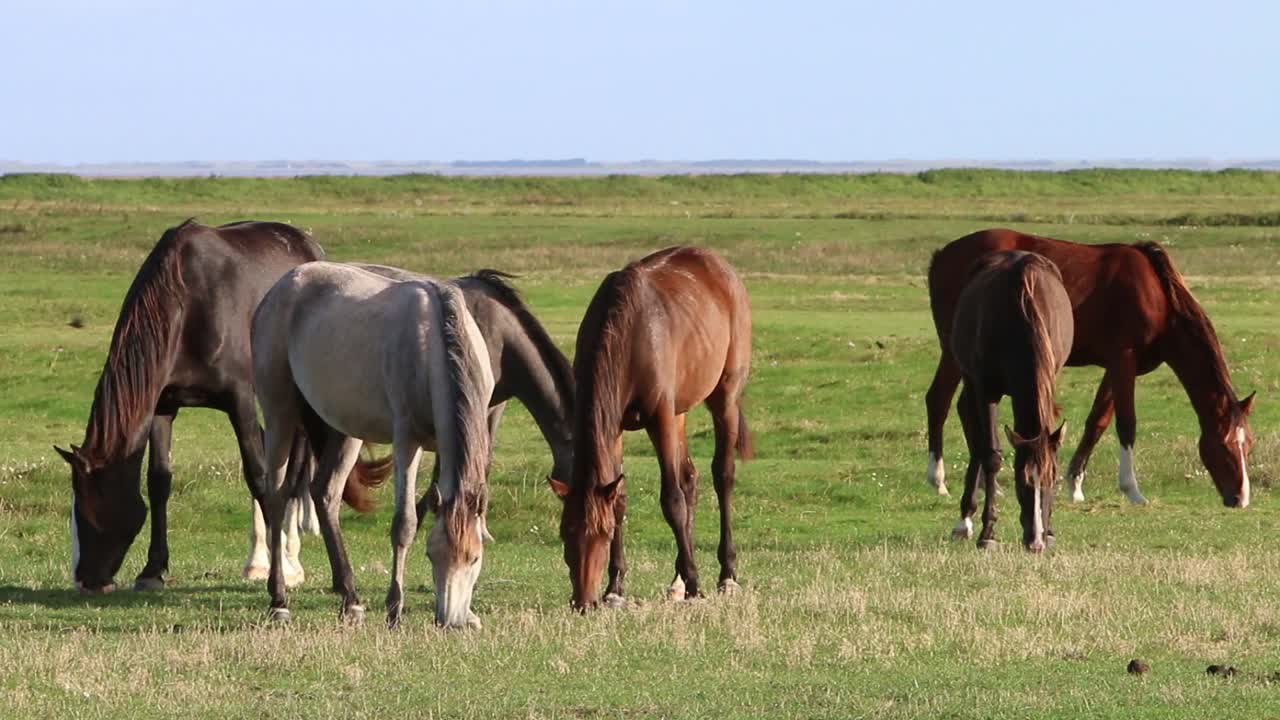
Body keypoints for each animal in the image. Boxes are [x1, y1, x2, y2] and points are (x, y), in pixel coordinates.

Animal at [52, 219, 381, 593]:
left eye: (91, 509)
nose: (84, 579)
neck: (187, 305)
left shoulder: (239, 401)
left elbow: (259, 476)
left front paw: (283, 567)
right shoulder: (163, 406)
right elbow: (159, 481)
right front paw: (153, 569)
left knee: (295, 469)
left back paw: (291, 553)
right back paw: (256, 560)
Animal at [251, 262, 495, 628]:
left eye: (474, 558)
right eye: (430, 555)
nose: (449, 619)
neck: (435, 343)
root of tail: (280, 287)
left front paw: (469, 614)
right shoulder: (407, 442)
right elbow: (405, 524)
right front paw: (394, 609)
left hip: (344, 428)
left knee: (325, 493)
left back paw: (350, 598)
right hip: (280, 411)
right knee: (277, 495)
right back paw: (279, 598)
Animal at [549, 246, 753, 609]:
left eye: (602, 535)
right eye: (565, 533)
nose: (583, 602)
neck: (629, 333)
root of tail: (719, 265)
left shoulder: (660, 417)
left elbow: (672, 500)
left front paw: (695, 583)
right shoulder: (615, 426)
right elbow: (619, 499)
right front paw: (615, 587)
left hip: (724, 397)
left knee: (722, 475)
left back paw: (726, 575)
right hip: (679, 412)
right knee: (690, 479)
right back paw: (676, 580)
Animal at [925, 228, 1255, 508]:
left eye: (1248, 444)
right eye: (1224, 445)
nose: (1240, 498)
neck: (1158, 296)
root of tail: (942, 256)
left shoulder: (1117, 366)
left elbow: (1098, 421)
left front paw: (1074, 483)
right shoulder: (1123, 360)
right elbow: (1126, 423)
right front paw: (1132, 490)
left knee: (961, 406)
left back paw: (981, 480)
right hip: (957, 353)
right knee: (942, 401)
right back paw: (940, 480)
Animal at [950, 251, 1072, 550]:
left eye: (1053, 479)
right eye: (1021, 481)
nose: (1036, 542)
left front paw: (1050, 531)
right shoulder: (986, 390)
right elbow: (991, 454)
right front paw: (987, 533)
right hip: (970, 380)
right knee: (974, 432)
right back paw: (964, 520)